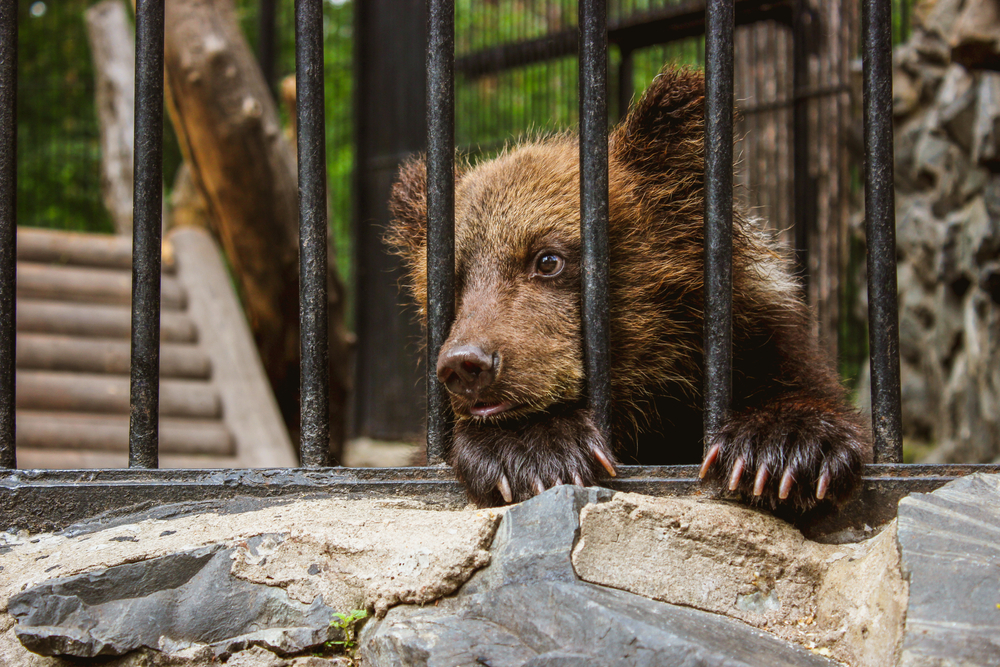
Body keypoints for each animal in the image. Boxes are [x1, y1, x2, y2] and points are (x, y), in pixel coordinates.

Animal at [386, 66, 872, 512]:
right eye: (453, 280)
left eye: (547, 259)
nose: (466, 364)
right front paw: (529, 450)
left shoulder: (763, 345)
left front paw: (783, 448)